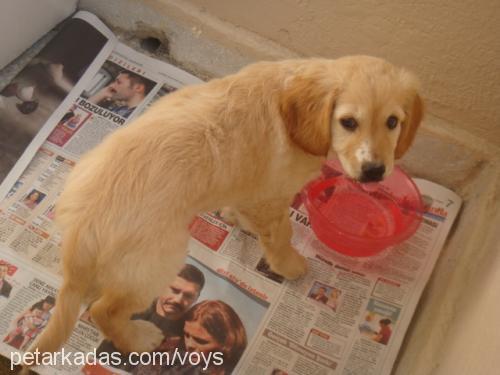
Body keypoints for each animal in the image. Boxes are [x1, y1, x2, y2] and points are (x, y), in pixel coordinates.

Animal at [23, 55, 422, 364]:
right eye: (348, 122)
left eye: (392, 122)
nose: (374, 172)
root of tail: (80, 232)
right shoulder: (272, 196)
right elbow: (281, 233)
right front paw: (289, 264)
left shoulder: (249, 187)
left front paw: (235, 219)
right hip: (159, 259)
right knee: (105, 310)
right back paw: (138, 339)